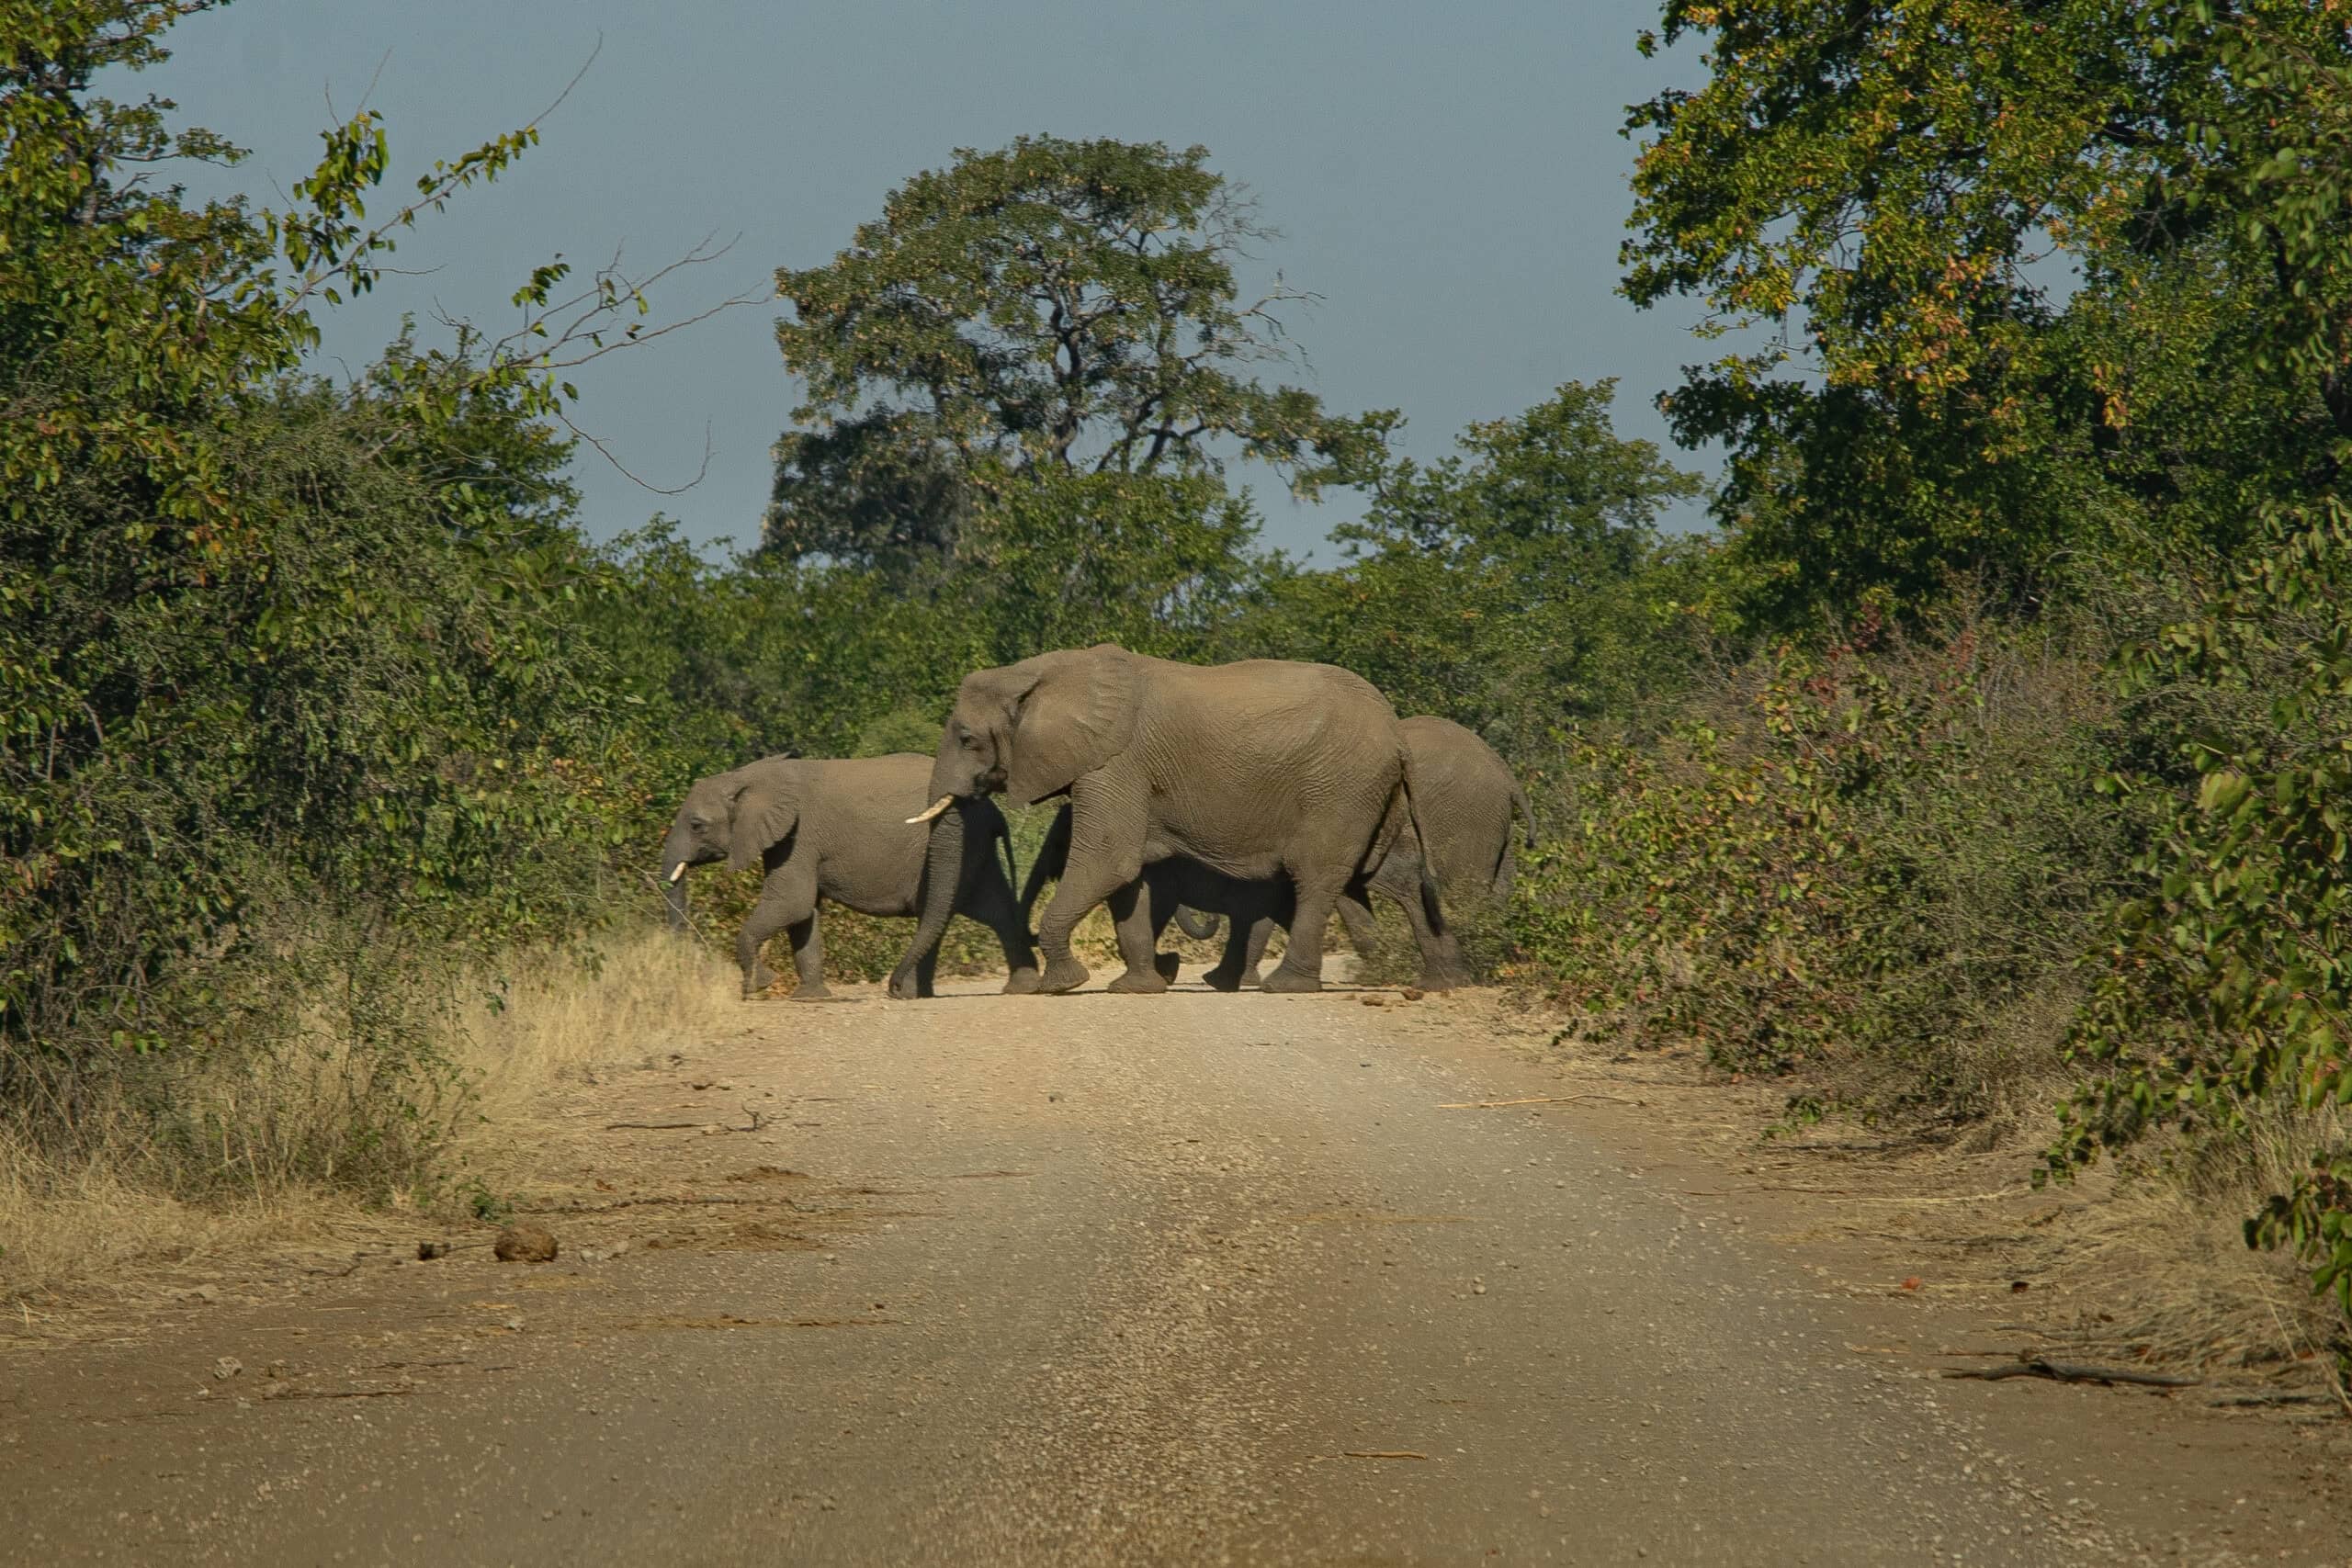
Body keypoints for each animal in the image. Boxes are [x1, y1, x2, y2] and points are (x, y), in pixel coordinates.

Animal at [659, 753, 1041, 1001]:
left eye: (697, 826)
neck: (748, 776)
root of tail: (993, 812)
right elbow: (804, 913)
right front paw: (809, 998)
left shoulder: (799, 834)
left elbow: (792, 902)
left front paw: (758, 985)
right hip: (975, 850)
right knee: (993, 910)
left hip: (959, 846)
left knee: (950, 910)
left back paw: (910, 994)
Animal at [909, 643, 1461, 994]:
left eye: (966, 738)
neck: (1041, 673)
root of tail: (1397, 733)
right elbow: (1128, 877)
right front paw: (1135, 989)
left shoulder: (1116, 763)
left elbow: (1110, 859)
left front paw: (1063, 985)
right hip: (1370, 791)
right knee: (1386, 873)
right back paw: (1434, 979)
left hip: (1341, 785)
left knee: (1319, 874)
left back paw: (1289, 986)